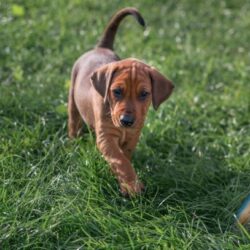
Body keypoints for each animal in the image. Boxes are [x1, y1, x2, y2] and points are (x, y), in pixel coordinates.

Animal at [68, 7, 174, 195]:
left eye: (144, 94)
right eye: (116, 92)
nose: (127, 121)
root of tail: (101, 47)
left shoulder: (133, 135)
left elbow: (124, 157)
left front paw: (125, 182)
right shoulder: (106, 138)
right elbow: (120, 160)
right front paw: (132, 186)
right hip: (73, 96)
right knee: (73, 122)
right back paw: (73, 143)